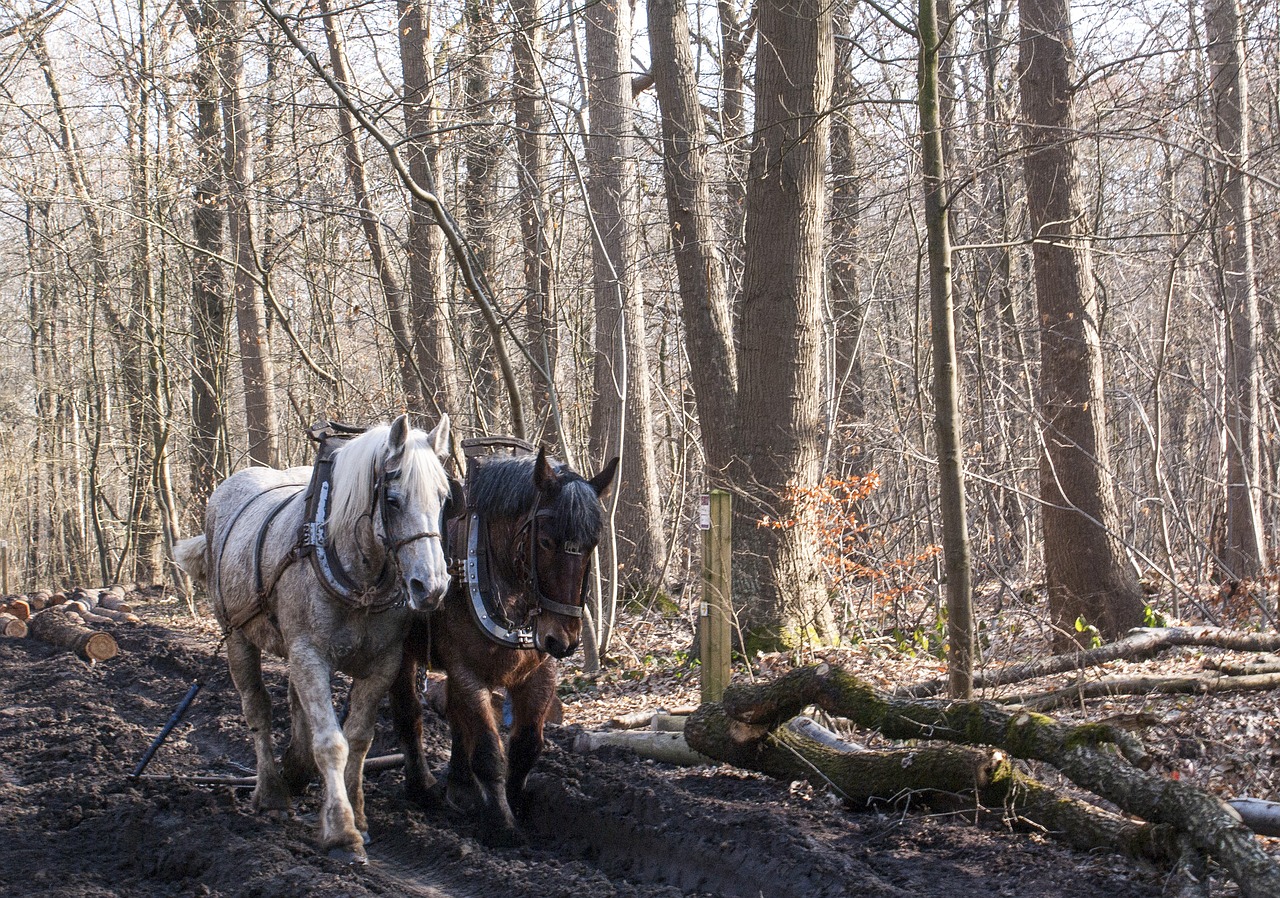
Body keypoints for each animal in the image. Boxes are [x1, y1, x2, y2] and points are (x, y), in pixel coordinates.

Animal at [174, 417, 455, 864]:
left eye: (445, 498)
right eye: (393, 500)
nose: (431, 587)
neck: (359, 579)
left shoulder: (383, 662)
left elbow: (358, 739)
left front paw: (357, 814)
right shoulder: (309, 655)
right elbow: (331, 744)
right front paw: (341, 832)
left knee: (295, 707)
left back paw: (296, 770)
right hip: (238, 637)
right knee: (258, 711)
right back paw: (272, 793)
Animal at [389, 447, 614, 849]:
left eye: (591, 544)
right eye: (545, 541)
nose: (564, 639)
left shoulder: (539, 672)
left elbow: (525, 746)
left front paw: (517, 804)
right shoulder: (467, 672)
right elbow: (489, 751)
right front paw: (502, 824)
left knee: (454, 715)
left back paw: (460, 786)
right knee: (408, 712)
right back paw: (423, 788)